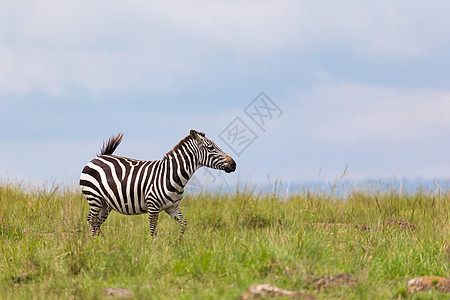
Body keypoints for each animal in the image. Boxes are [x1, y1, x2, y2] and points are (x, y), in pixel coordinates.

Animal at [79, 130, 237, 238]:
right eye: (211, 148)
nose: (234, 164)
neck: (172, 175)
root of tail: (98, 158)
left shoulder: (172, 206)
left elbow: (184, 224)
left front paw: (178, 242)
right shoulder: (153, 206)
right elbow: (153, 229)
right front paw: (153, 249)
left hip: (106, 204)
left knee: (96, 223)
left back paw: (103, 243)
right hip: (94, 197)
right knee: (91, 220)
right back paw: (95, 244)